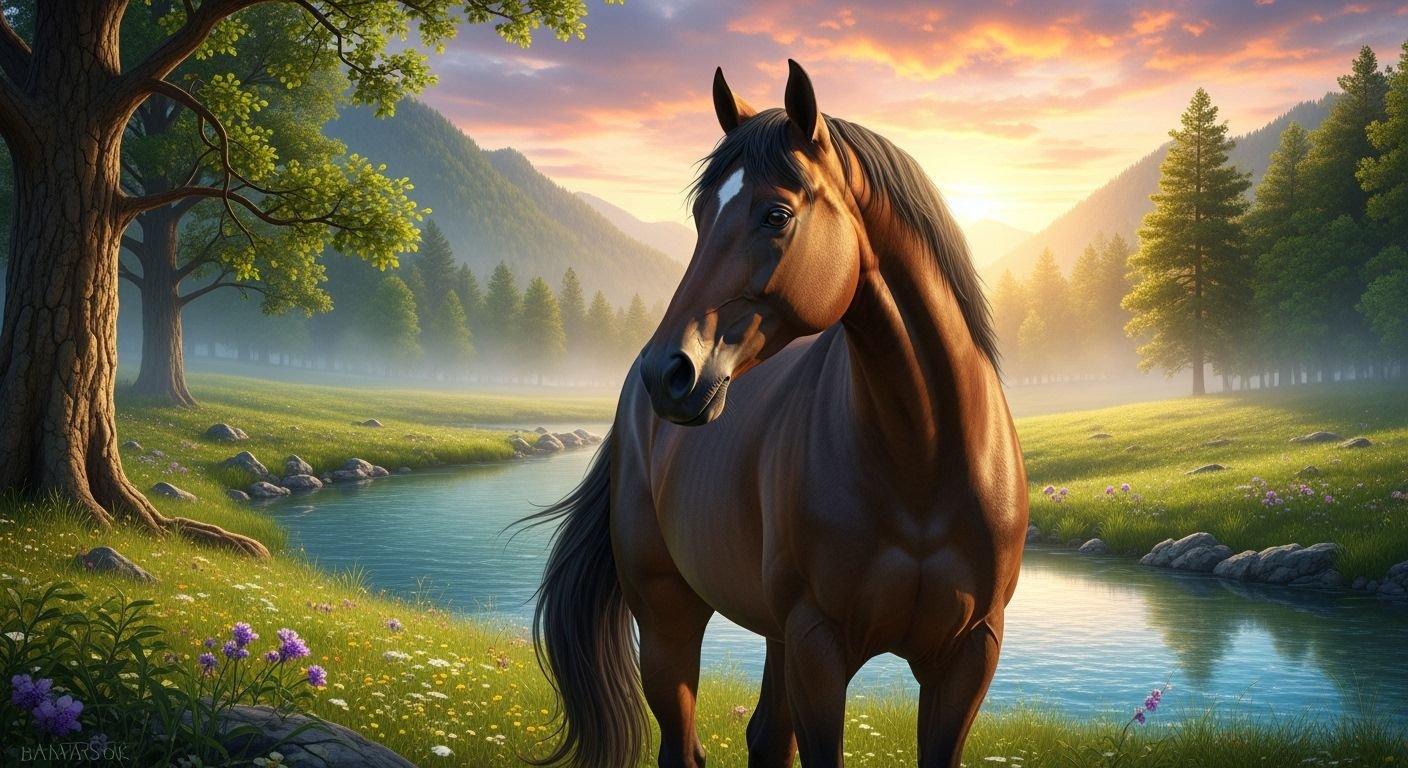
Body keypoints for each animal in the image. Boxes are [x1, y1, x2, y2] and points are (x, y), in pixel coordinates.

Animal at [526, 60, 1028, 768]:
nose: (669, 373)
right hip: (669, 616)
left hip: (776, 635)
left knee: (765, 738)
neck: (924, 462)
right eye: (702, 214)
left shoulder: (967, 654)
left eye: (776, 214)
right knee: (682, 742)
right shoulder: (819, 648)